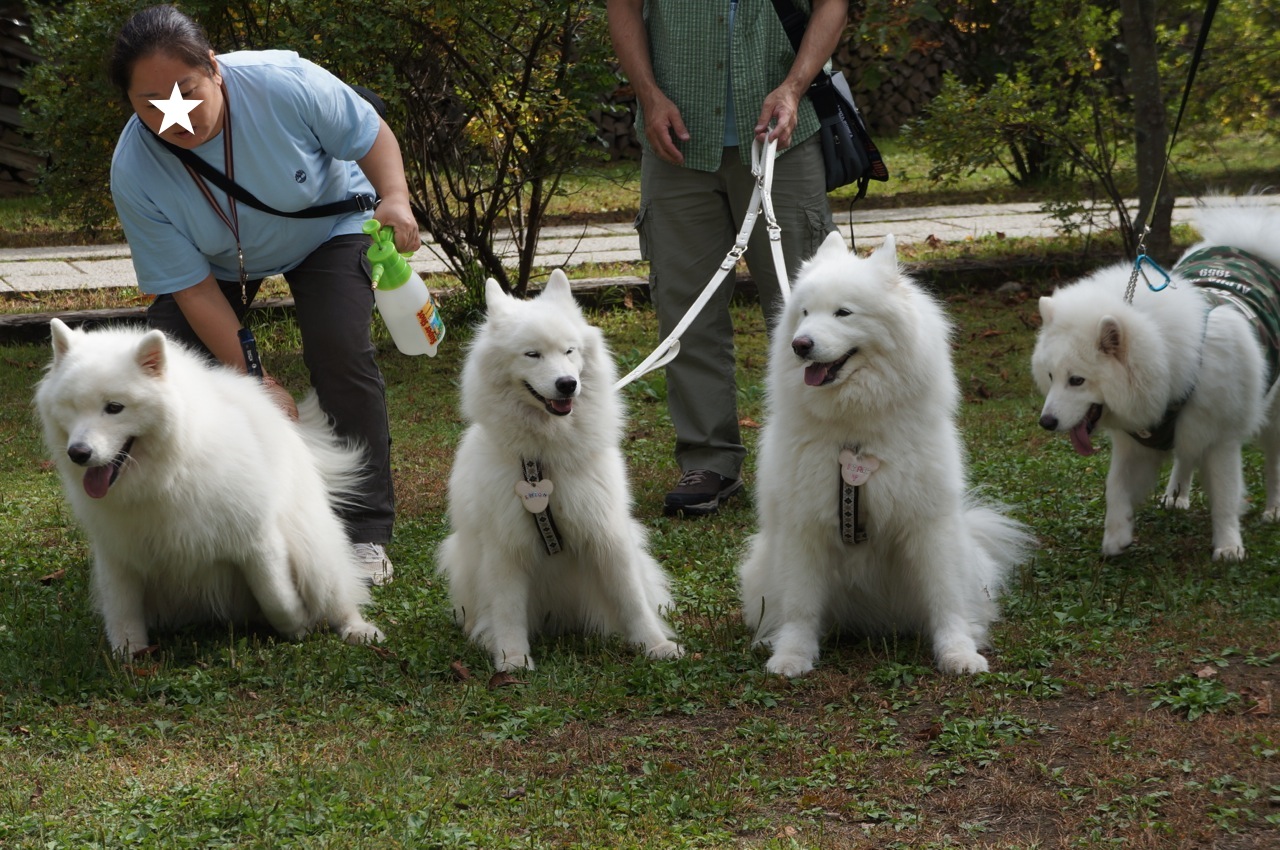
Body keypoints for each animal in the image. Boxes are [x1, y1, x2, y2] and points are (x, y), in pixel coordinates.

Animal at [33, 318, 384, 655]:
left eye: (114, 408)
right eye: (72, 406)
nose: (78, 453)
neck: (167, 475)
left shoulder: (257, 541)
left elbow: (277, 598)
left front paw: (298, 625)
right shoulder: (119, 555)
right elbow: (123, 615)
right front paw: (129, 658)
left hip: (314, 555)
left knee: (338, 595)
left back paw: (358, 630)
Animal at [437, 270, 686, 670]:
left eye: (570, 351)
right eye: (532, 354)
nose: (567, 384)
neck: (542, 460)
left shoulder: (607, 532)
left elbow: (632, 600)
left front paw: (656, 645)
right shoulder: (505, 544)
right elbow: (507, 609)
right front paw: (512, 659)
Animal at [742, 230, 1029, 675]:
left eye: (843, 313)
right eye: (805, 313)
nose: (799, 344)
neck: (856, 434)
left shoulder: (928, 524)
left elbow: (945, 600)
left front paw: (958, 653)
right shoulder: (804, 526)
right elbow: (800, 605)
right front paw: (791, 655)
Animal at [1029, 198, 1280, 558]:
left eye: (1077, 380)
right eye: (1051, 377)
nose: (1046, 422)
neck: (1172, 366)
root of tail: (1248, 246)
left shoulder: (1221, 439)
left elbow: (1225, 498)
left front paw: (1229, 545)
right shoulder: (1136, 443)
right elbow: (1115, 488)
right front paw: (1116, 536)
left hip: (1273, 417)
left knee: (1273, 462)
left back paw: (1273, 509)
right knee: (1185, 455)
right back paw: (1177, 495)